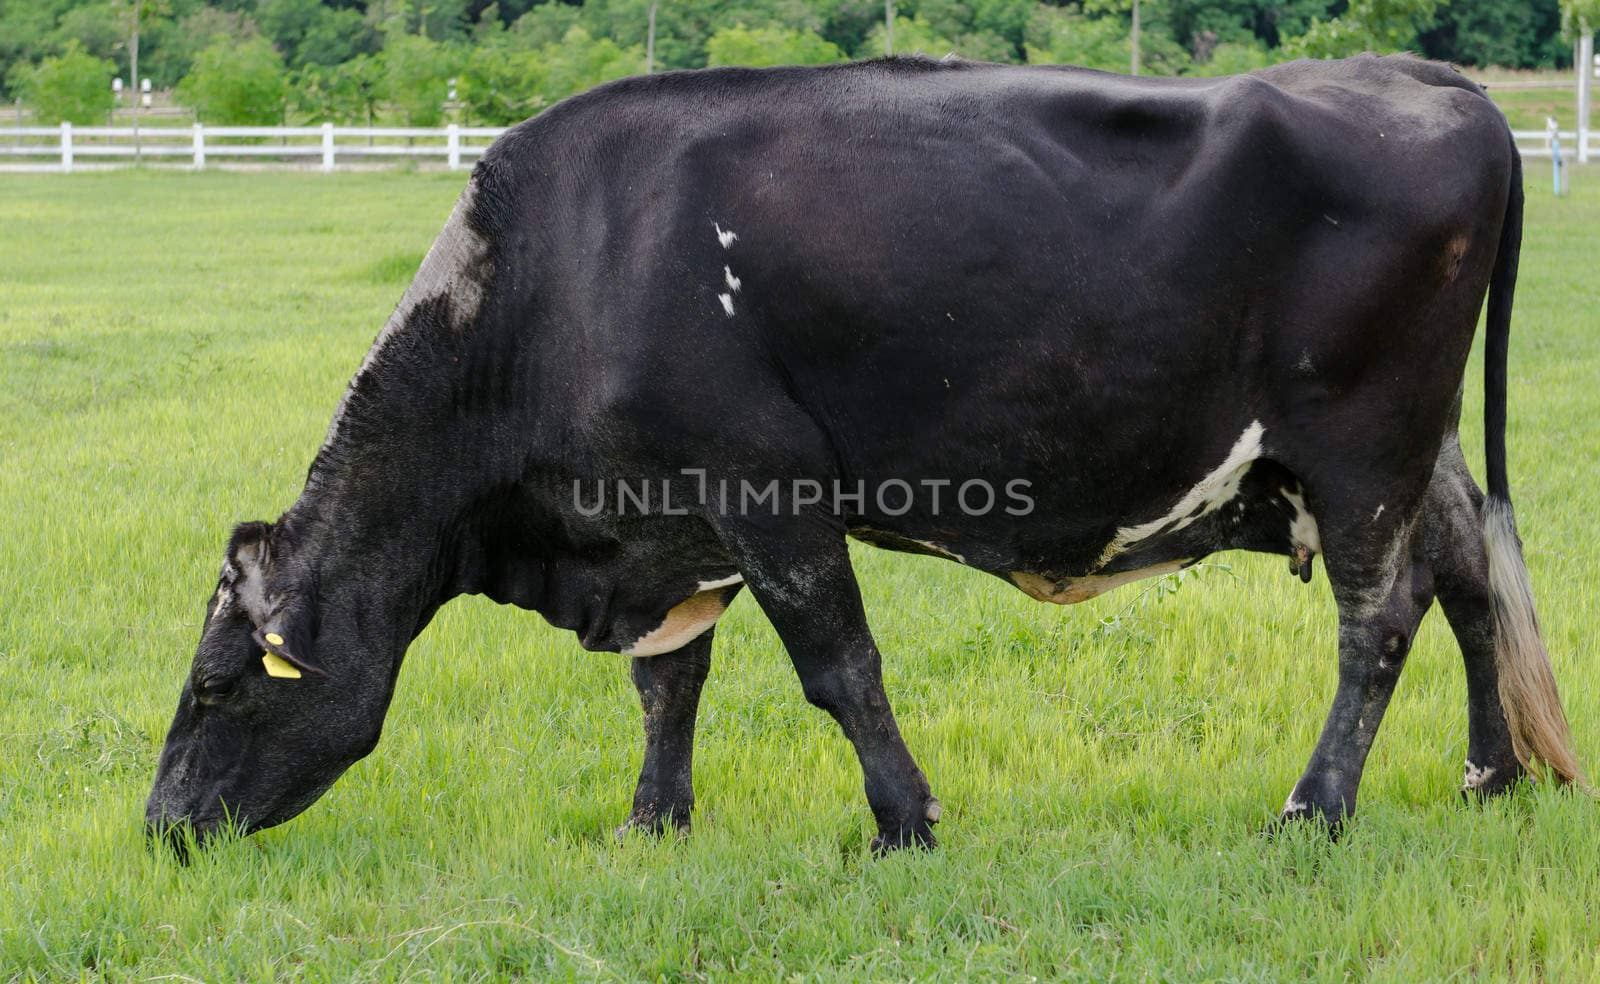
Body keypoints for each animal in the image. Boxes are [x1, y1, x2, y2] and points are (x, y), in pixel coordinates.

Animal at [147, 52, 1574, 857]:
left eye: (217, 688)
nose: (161, 832)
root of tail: (1428, 82)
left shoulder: (764, 487)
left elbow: (838, 669)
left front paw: (904, 824)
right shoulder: (673, 521)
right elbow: (670, 684)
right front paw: (651, 823)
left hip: (1360, 448)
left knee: (1377, 622)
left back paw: (1312, 811)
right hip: (1417, 453)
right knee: (1466, 581)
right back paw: (1490, 773)